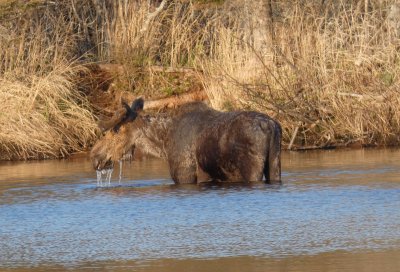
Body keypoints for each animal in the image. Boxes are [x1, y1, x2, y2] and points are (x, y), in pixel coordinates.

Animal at [90, 99, 282, 184]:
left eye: (115, 130)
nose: (95, 156)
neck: (163, 144)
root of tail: (272, 127)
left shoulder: (184, 175)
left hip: (252, 170)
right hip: (274, 164)